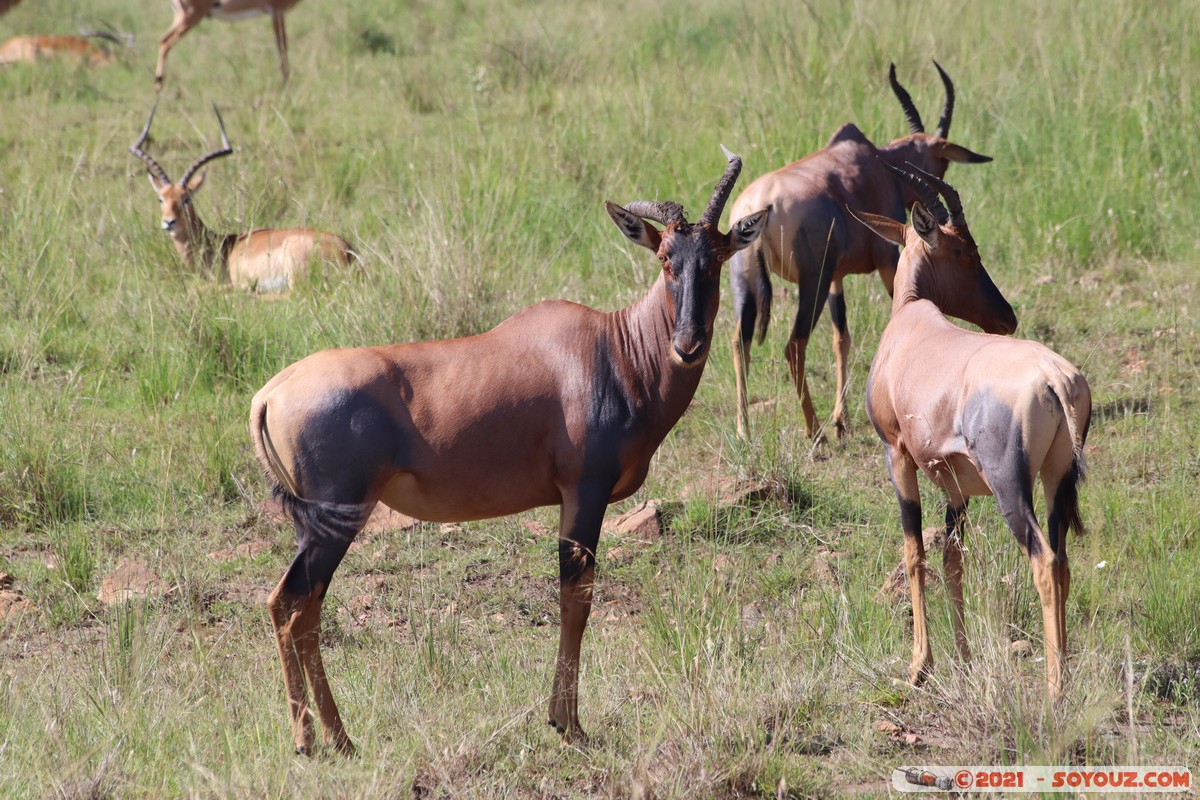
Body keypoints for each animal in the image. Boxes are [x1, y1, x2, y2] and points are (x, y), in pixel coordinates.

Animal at [132, 103, 355, 296]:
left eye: (186, 198)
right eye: (161, 199)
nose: (169, 222)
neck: (223, 247)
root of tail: (347, 251)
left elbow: (195, 290)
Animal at [154, 0, 302, 89]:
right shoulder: (277, 11)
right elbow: (282, 46)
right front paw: (287, 84)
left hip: (181, 17)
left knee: (162, 40)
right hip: (190, 16)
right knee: (166, 42)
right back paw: (158, 85)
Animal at [248, 146, 768, 753]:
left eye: (717, 257)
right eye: (665, 258)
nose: (687, 344)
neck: (612, 347)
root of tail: (271, 393)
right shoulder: (584, 493)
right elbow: (576, 601)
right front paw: (569, 726)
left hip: (316, 525)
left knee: (297, 608)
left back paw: (334, 739)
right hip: (336, 518)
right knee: (293, 607)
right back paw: (314, 741)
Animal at [724, 62, 988, 441]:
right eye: (942, 162)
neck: (875, 163)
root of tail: (762, 204)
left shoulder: (837, 277)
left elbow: (841, 338)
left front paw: (842, 419)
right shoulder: (887, 261)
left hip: (744, 283)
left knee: (739, 343)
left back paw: (744, 430)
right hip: (812, 282)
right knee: (794, 344)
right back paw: (814, 430)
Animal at [854, 164, 1089, 700]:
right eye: (964, 251)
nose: (1006, 316)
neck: (913, 321)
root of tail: (1056, 378)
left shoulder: (897, 454)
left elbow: (915, 553)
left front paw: (919, 668)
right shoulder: (956, 484)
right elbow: (952, 561)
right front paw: (962, 661)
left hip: (1008, 484)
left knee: (1043, 562)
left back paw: (1053, 690)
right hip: (1056, 478)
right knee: (1063, 560)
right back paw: (1063, 671)